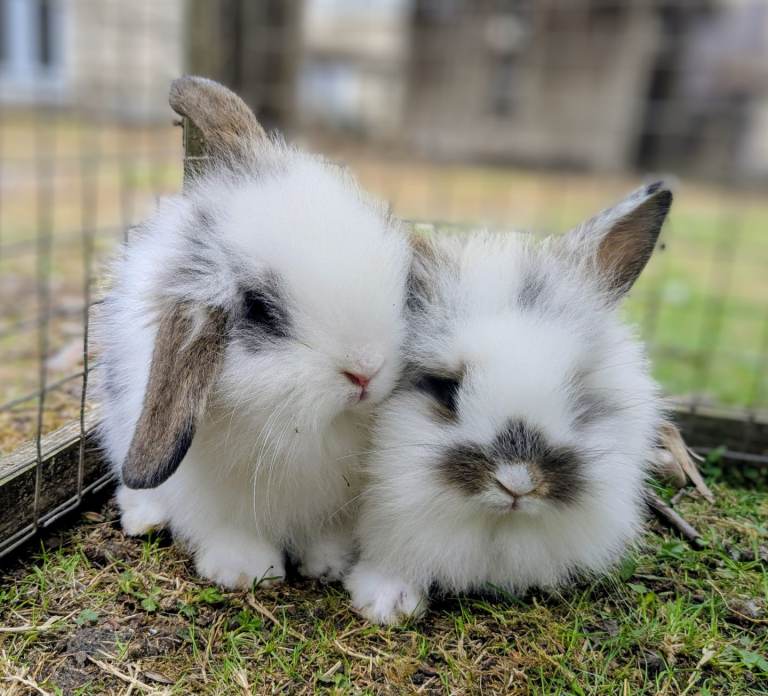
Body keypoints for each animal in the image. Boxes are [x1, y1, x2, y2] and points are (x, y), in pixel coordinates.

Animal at [93, 77, 411, 589]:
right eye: (261, 311)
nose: (366, 371)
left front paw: (329, 563)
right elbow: (229, 528)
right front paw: (245, 571)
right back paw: (145, 517)